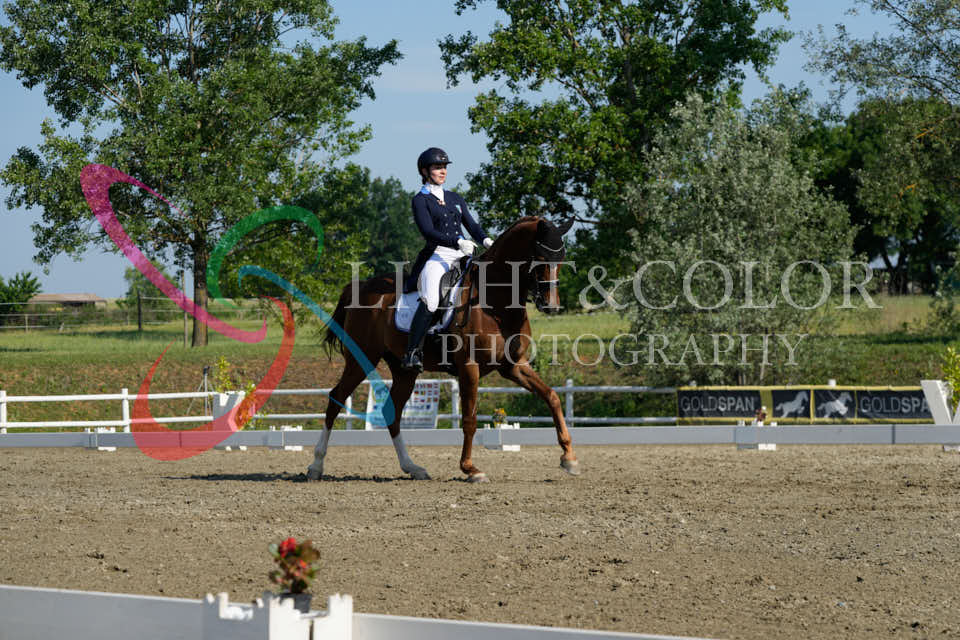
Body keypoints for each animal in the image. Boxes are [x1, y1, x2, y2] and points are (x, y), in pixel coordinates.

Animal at [306, 216, 579, 482]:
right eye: (540, 259)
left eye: (561, 260)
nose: (551, 306)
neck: (495, 302)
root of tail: (361, 286)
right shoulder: (469, 367)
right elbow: (469, 419)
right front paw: (470, 469)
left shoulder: (513, 366)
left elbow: (552, 397)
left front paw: (569, 459)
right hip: (360, 358)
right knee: (336, 398)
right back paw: (316, 466)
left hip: (404, 370)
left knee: (391, 412)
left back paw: (413, 467)